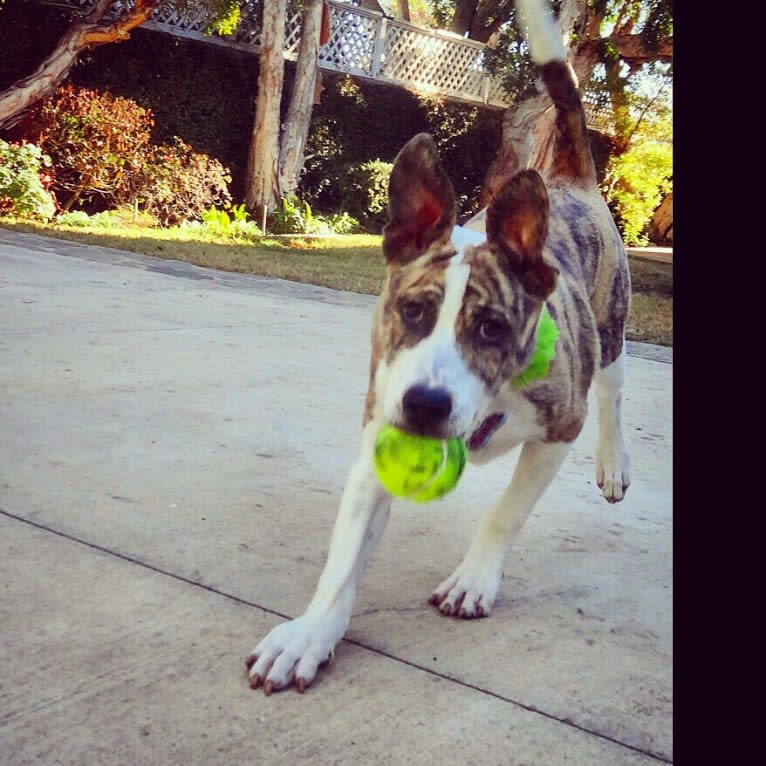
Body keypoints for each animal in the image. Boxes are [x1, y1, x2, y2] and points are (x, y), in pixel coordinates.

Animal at [246, 0, 632, 696]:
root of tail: (571, 180)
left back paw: (614, 464)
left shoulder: (558, 427)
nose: (426, 405)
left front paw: (473, 580)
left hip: (610, 323)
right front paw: (311, 634)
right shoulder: (380, 427)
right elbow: (344, 556)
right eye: (412, 311)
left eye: (493, 330)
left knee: (614, 390)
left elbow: (506, 513)